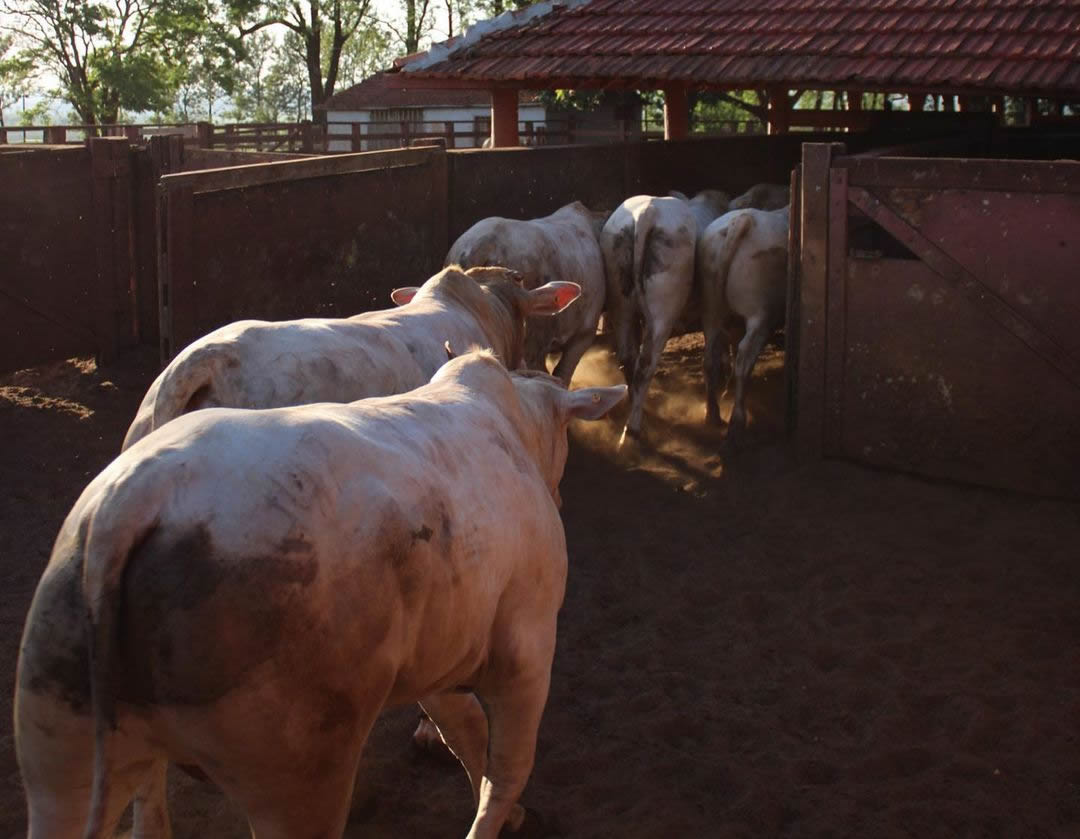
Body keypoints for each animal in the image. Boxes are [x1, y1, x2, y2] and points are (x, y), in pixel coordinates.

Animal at [14, 349, 626, 837]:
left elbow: (465, 732)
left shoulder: (439, 660)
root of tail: (135, 500)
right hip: (301, 774)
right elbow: (506, 769)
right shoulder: (527, 652)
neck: (510, 424)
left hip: (57, 750)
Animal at [604, 190, 730, 438]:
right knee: (646, 364)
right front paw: (713, 414)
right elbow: (712, 359)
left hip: (621, 305)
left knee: (628, 357)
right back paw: (633, 427)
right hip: (663, 313)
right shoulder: (713, 312)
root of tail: (647, 213)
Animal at [695, 206, 790, 436]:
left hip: (711, 309)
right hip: (761, 314)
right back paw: (737, 418)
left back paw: (713, 412)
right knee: (744, 358)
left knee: (710, 359)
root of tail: (743, 220)